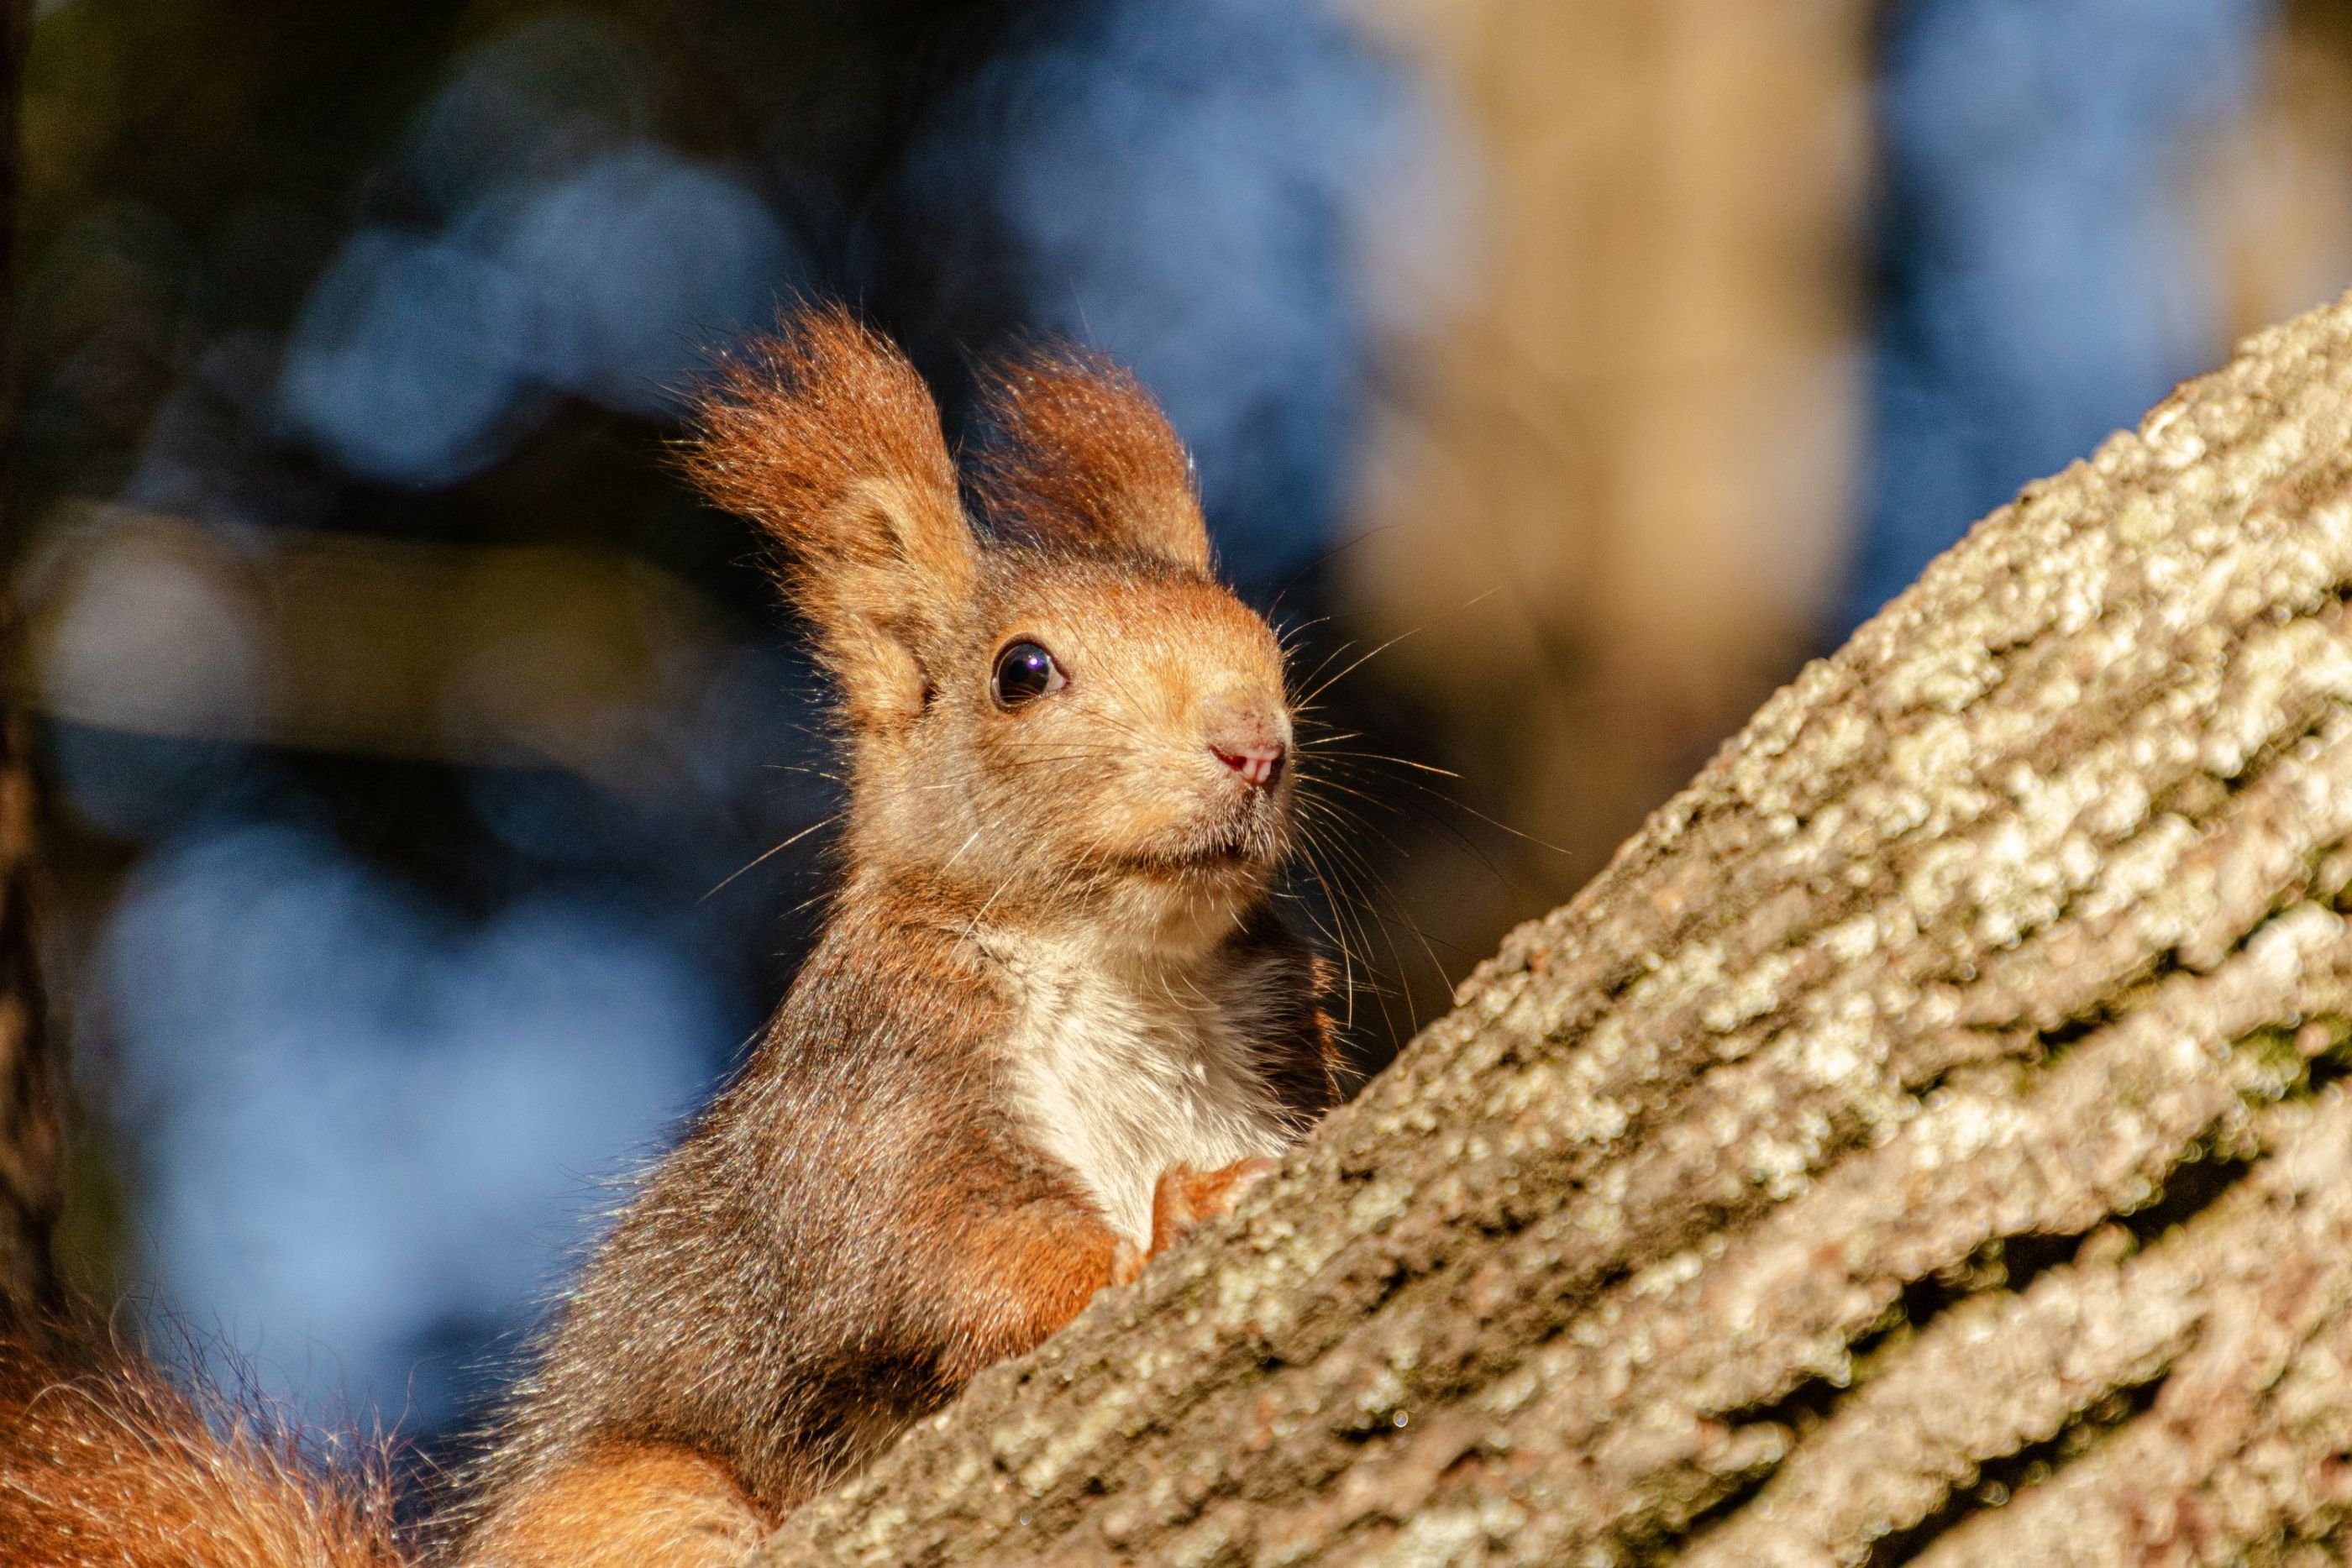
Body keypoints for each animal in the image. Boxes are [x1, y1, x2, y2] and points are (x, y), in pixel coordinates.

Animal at [0, 310, 1345, 1568]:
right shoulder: (872, 1100)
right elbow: (938, 1259)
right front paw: (1172, 1220)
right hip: (639, 1497)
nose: (1254, 744)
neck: (1132, 966)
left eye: (1266, 645)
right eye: (1023, 671)